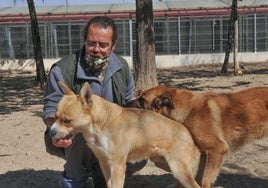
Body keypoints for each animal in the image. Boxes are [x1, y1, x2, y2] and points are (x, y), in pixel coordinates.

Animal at [49, 82, 201, 188]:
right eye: (55, 117)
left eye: (66, 121)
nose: (51, 132)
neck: (102, 124)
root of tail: (189, 135)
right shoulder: (104, 163)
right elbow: (109, 184)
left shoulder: (117, 165)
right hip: (166, 164)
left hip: (179, 170)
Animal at [126, 86, 268, 188]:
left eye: (142, 100)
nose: (126, 103)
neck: (188, 109)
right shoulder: (204, 154)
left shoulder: (217, 150)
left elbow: (205, 180)